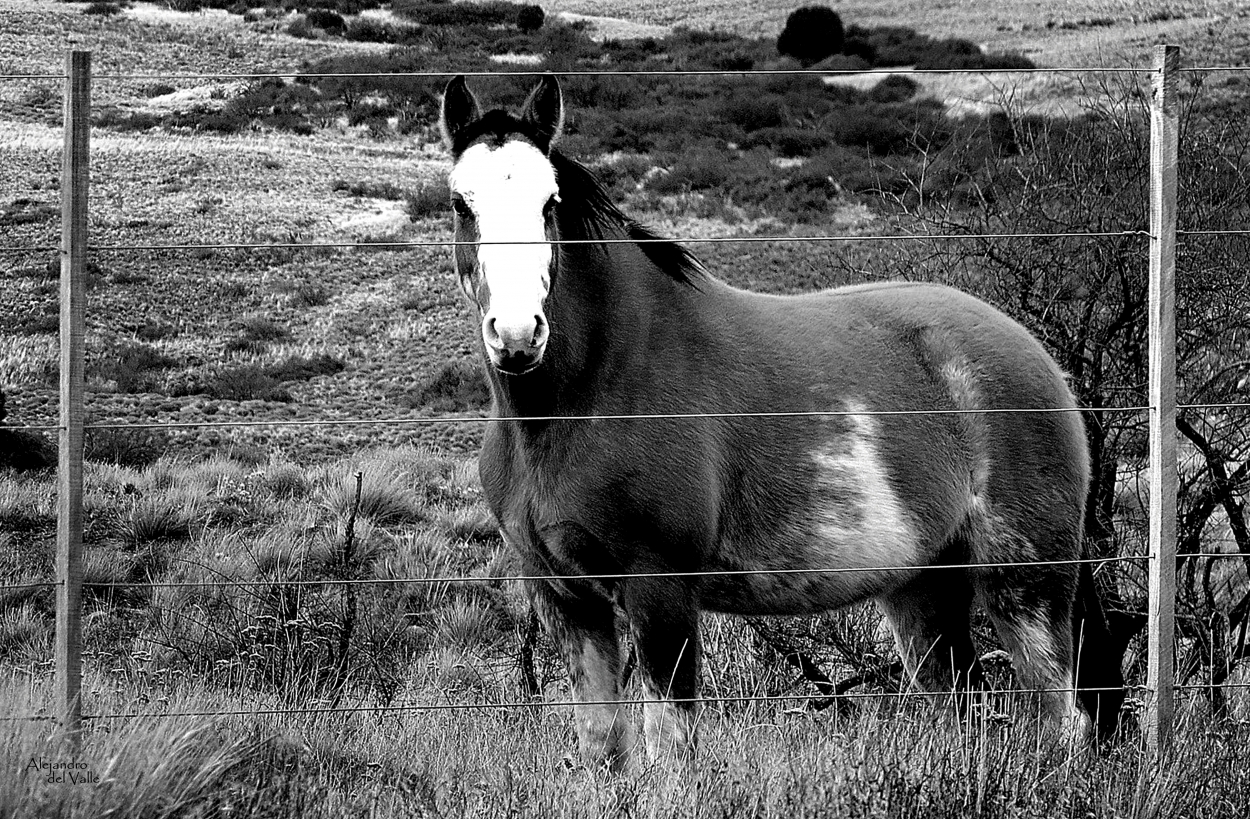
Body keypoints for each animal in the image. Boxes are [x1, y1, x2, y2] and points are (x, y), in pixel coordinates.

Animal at [437, 72, 1125, 770]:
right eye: (462, 204)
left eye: (548, 203)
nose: (517, 335)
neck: (593, 389)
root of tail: (1037, 357)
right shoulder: (568, 599)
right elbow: (604, 744)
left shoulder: (661, 590)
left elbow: (670, 750)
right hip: (925, 589)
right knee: (963, 708)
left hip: (1026, 582)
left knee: (1065, 718)